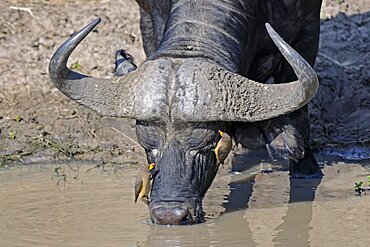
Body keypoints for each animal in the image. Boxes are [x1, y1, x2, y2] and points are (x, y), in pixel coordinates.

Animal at [48, 0, 320, 225]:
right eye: (148, 147)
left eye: (206, 146)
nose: (169, 215)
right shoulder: (151, 20)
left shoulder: (307, 32)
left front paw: (307, 170)